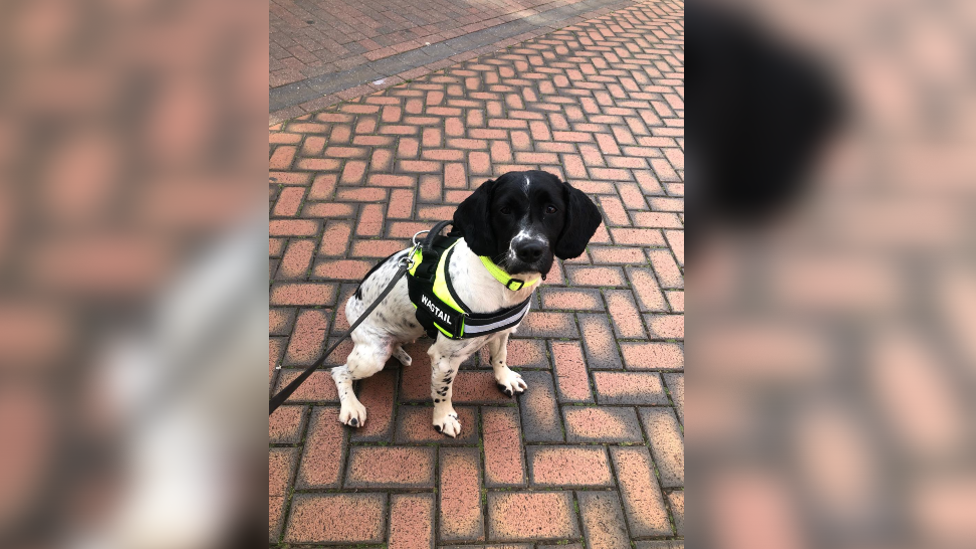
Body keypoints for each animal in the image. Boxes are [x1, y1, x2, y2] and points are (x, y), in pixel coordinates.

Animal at [332, 170, 600, 436]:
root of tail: (351, 304)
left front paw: (504, 378)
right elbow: (442, 392)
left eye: (551, 209)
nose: (530, 250)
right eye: (504, 210)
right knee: (339, 372)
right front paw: (444, 418)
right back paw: (352, 408)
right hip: (372, 356)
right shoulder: (444, 360)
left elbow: (499, 357)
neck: (500, 281)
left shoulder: (502, 332)